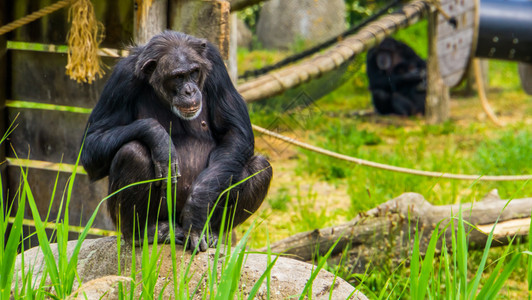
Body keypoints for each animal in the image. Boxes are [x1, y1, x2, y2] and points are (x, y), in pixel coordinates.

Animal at [81, 31, 272, 251]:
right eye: (178, 77)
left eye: (194, 72)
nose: (189, 90)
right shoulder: (121, 79)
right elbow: (93, 142)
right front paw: (160, 140)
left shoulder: (216, 64)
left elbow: (235, 132)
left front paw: (196, 209)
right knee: (133, 152)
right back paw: (144, 233)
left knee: (259, 167)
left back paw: (212, 233)